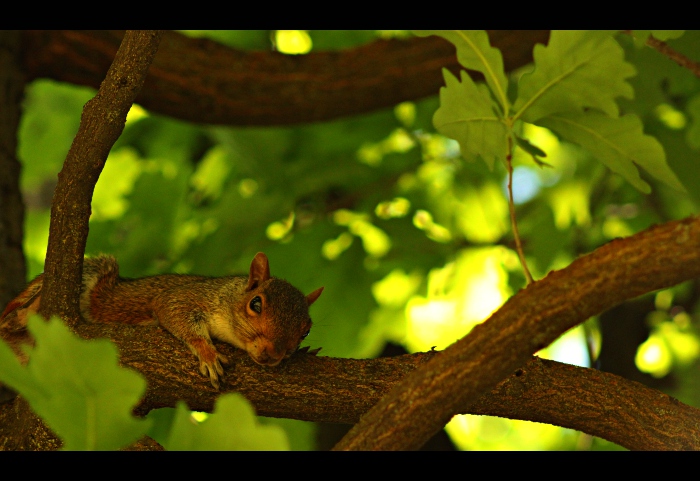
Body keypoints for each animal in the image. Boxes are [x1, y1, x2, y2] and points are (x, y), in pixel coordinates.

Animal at [0, 253, 322, 388]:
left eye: (306, 331)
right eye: (256, 304)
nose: (271, 354)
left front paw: (308, 352)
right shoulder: (188, 297)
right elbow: (172, 310)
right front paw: (207, 353)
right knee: (11, 318)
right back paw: (24, 312)